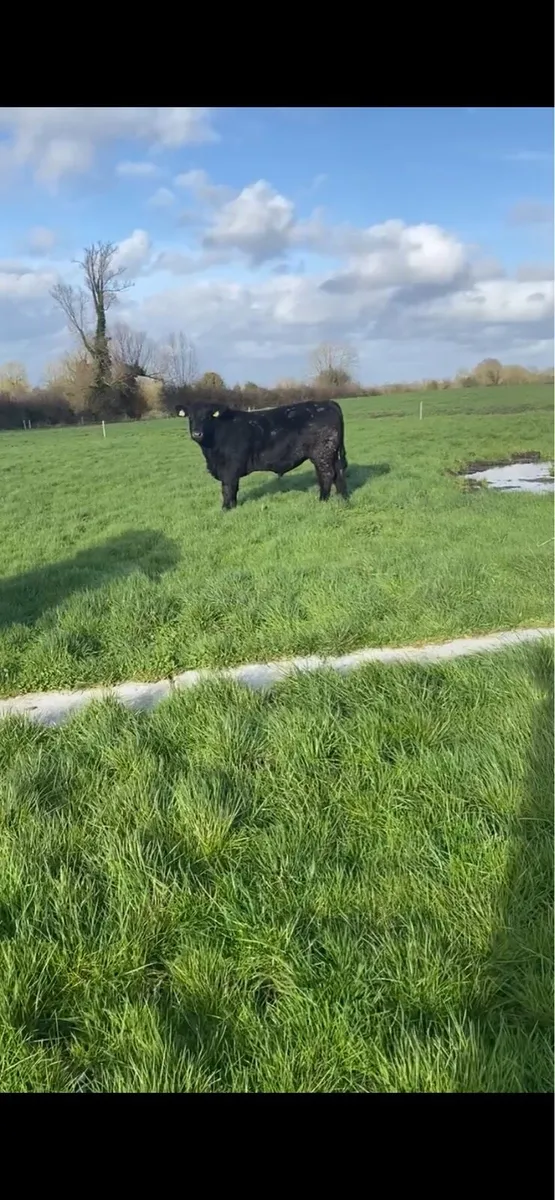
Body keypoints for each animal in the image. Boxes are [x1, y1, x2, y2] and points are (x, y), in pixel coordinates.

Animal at [175, 400, 348, 509]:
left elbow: (228, 488)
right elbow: (233, 489)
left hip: (322, 453)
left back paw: (322, 500)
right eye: (190, 417)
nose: (197, 433)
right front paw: (234, 507)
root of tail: (327, 403)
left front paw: (226, 509)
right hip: (332, 454)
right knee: (337, 473)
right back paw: (342, 497)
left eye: (208, 416)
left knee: (327, 475)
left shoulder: (230, 468)